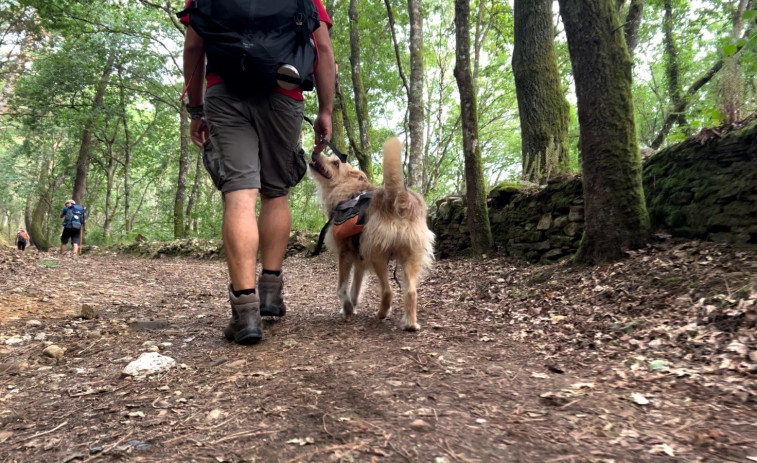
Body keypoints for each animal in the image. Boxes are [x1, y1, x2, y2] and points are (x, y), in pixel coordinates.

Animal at [308, 136, 434, 332]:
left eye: (335, 163)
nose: (315, 151)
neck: (349, 191)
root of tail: (399, 197)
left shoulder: (345, 254)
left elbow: (342, 288)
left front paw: (347, 308)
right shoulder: (360, 260)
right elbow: (355, 287)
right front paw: (352, 306)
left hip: (378, 255)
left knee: (388, 291)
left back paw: (381, 314)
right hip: (411, 257)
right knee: (411, 292)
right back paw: (410, 324)